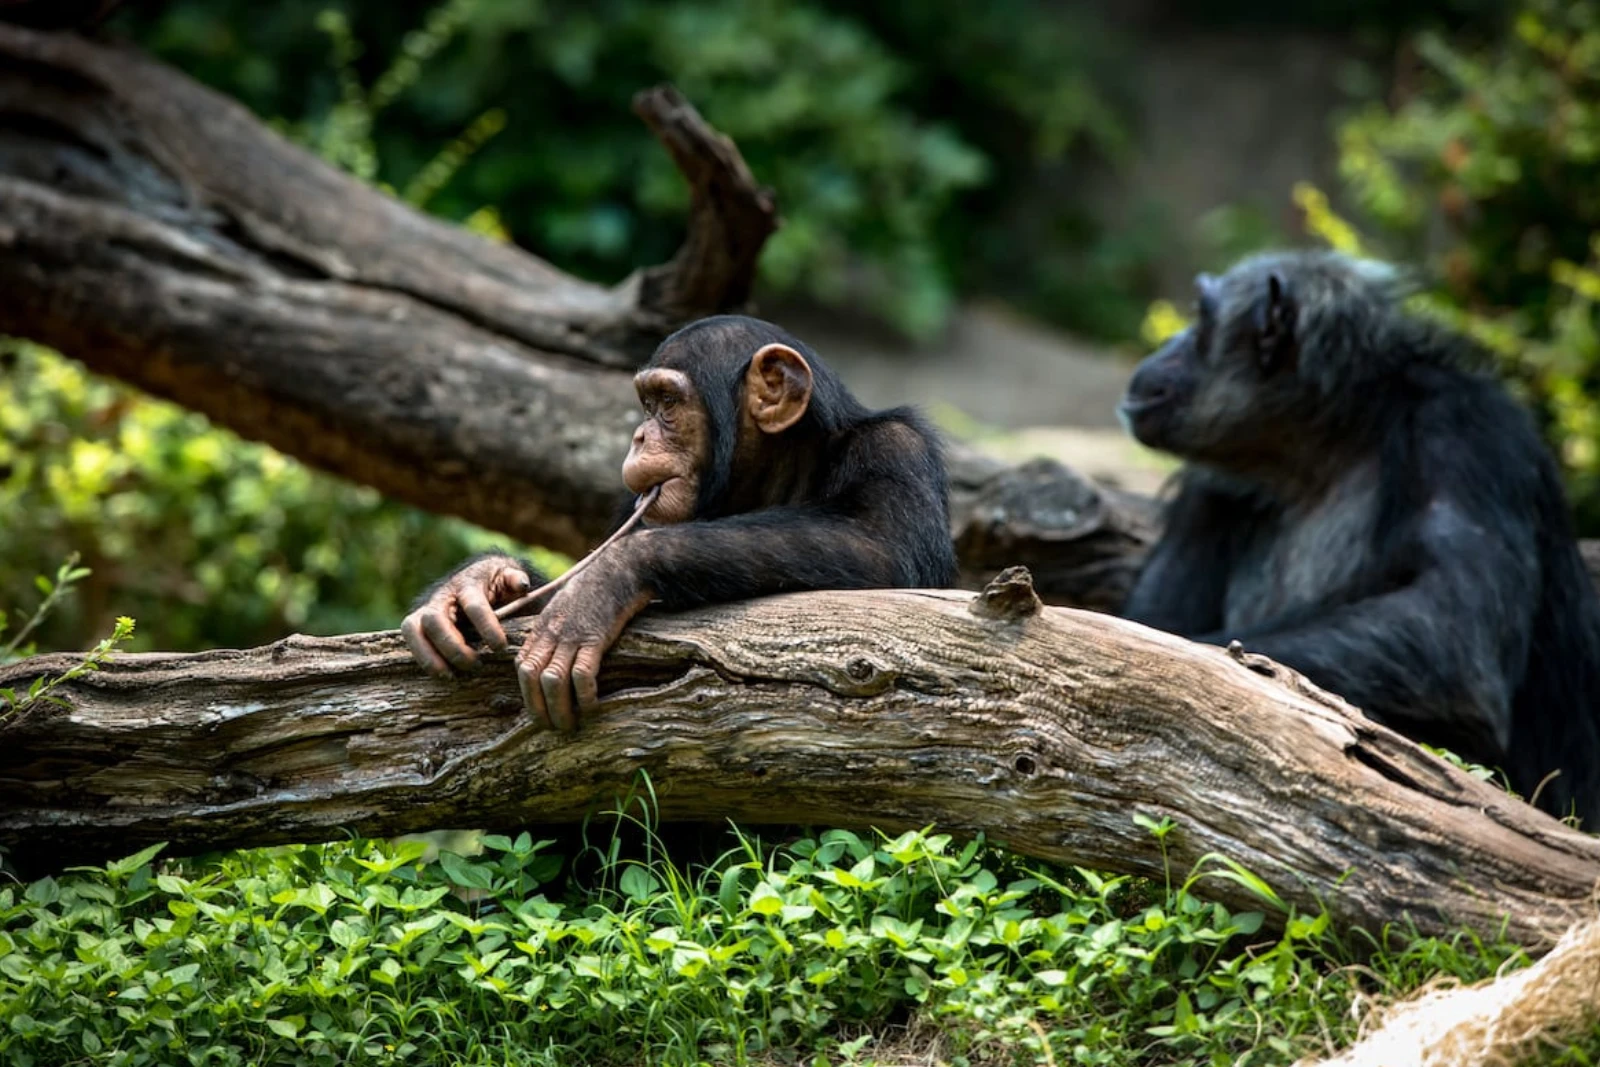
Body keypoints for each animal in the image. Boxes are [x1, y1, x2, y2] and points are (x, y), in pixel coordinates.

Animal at [402, 313, 957, 730]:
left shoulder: (895, 449)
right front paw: (476, 585)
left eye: (667, 403)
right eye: (646, 403)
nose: (639, 435)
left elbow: (880, 550)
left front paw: (604, 584)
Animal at [1117, 249, 1600, 828]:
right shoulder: (1204, 492)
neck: (1327, 444)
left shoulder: (1471, 435)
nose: (1170, 343)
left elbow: (1451, 632)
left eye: (1202, 318)